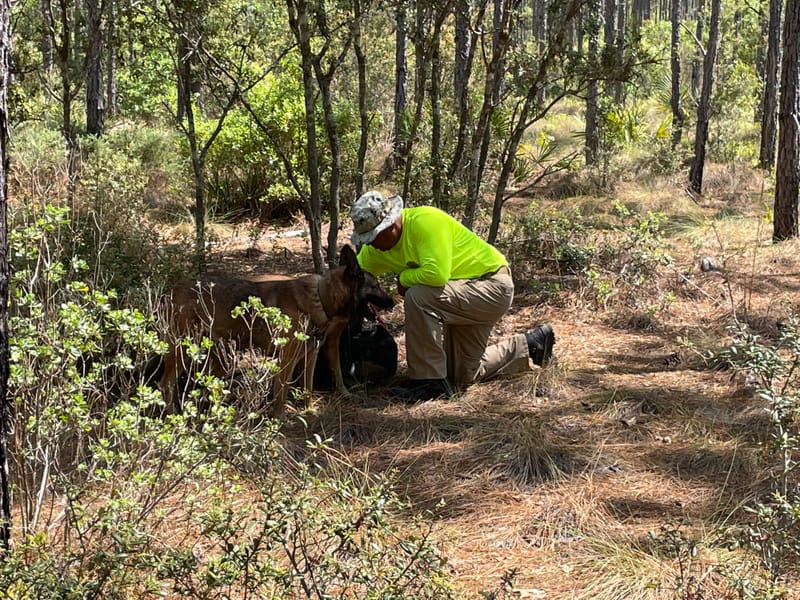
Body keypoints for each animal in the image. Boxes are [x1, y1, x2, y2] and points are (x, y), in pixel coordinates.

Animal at [157, 244, 394, 418]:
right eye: (376, 286)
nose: (392, 302)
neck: (321, 297)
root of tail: (170, 290)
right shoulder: (287, 359)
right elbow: (280, 391)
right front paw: (279, 418)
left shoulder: (310, 356)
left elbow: (307, 388)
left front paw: (309, 411)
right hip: (184, 350)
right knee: (166, 384)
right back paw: (172, 413)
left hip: (216, 358)